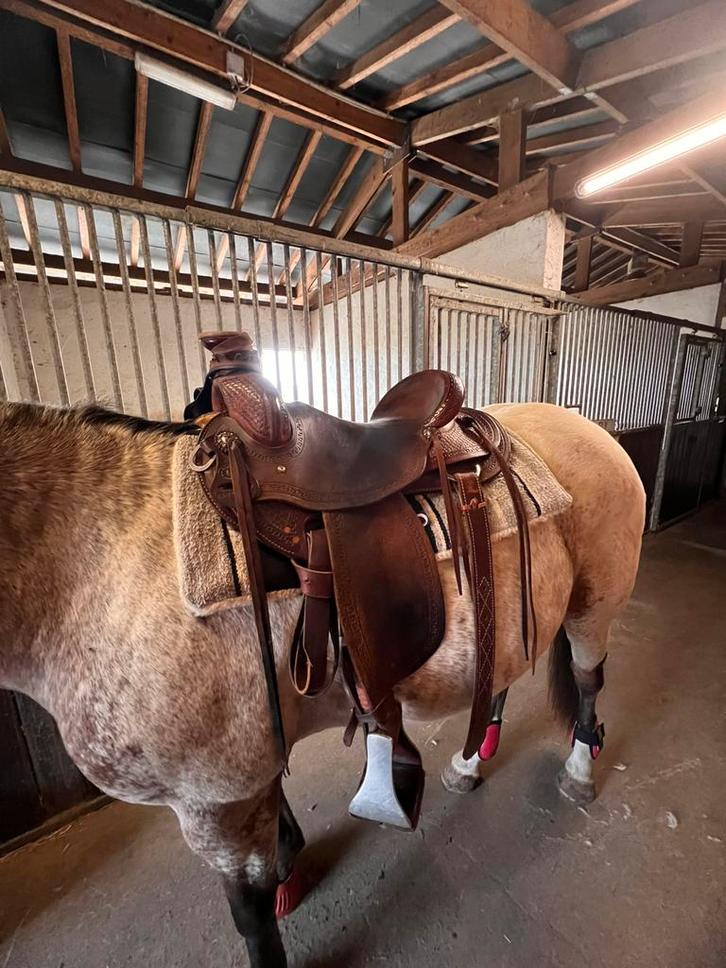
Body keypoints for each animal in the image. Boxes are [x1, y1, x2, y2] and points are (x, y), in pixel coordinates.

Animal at [0, 399, 645, 968]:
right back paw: (469, 762)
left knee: (589, 683)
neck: (103, 560)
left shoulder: (213, 799)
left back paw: (579, 771)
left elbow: (251, 917)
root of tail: (592, 427)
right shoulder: (248, 770)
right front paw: (291, 861)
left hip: (592, 610)